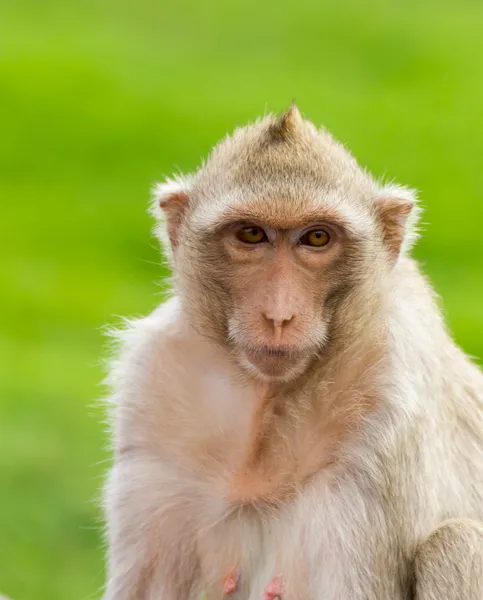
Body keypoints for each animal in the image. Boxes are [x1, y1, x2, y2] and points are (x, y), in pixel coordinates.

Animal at [103, 105, 483, 596]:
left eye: (317, 238)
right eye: (251, 234)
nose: (279, 315)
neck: (270, 398)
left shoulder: (384, 418)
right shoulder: (154, 388)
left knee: (456, 543)